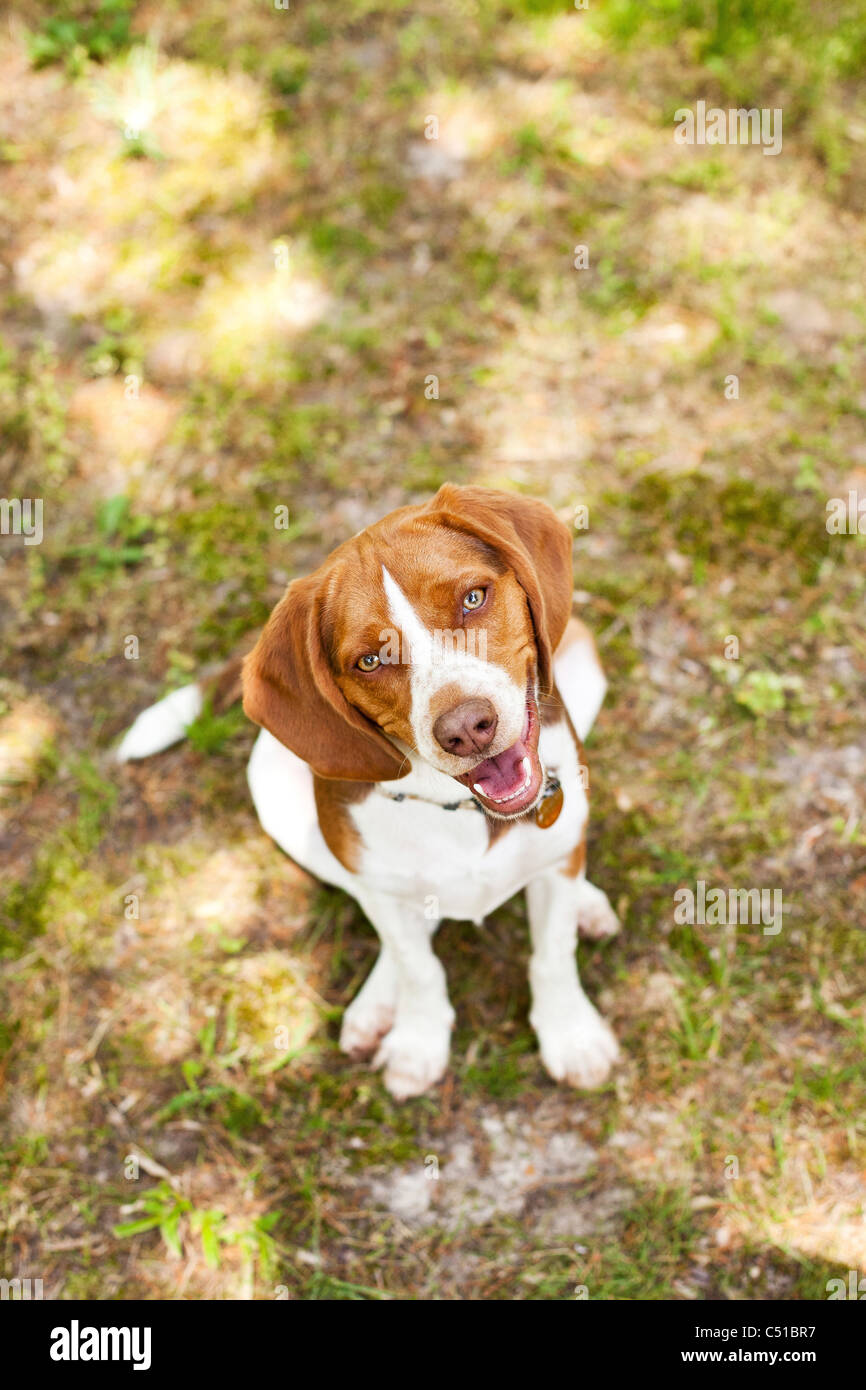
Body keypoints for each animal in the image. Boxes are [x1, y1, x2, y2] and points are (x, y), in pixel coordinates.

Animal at [118, 486, 619, 1095]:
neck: (458, 808)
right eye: (371, 660)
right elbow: (417, 966)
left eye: (473, 598)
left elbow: (552, 953)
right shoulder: (378, 884)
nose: (466, 729)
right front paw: (417, 1044)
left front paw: (571, 1037)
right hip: (273, 790)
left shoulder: (555, 858)